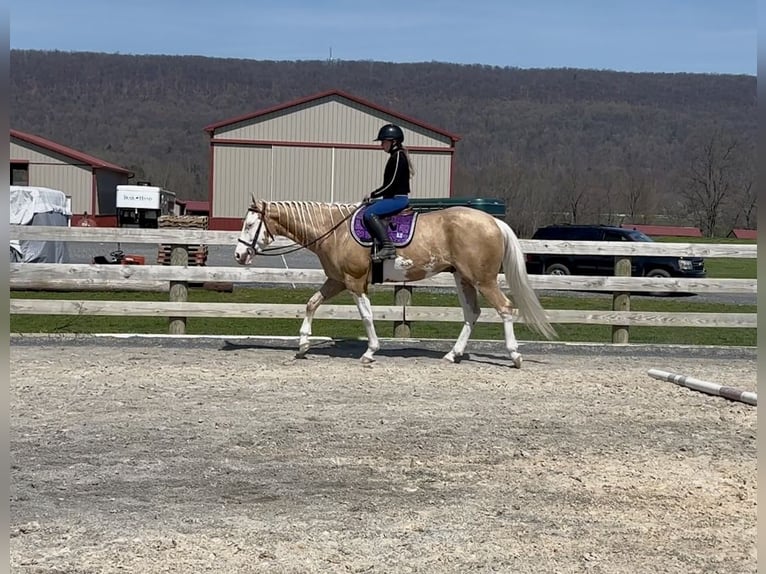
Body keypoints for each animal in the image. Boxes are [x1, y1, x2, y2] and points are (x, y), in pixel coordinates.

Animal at [234, 197, 556, 367]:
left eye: (250, 225)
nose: (239, 254)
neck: (333, 231)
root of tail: (493, 221)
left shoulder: (354, 282)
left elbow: (366, 316)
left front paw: (370, 352)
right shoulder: (336, 280)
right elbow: (311, 303)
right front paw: (302, 345)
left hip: (483, 279)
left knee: (505, 309)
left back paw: (514, 356)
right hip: (463, 277)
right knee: (472, 314)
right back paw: (452, 354)